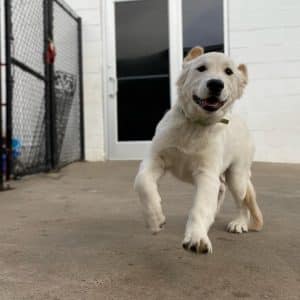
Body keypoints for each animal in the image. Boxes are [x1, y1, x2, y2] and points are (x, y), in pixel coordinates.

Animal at [134, 47, 262, 253]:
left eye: (228, 72)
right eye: (201, 68)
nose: (216, 84)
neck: (194, 126)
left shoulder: (206, 173)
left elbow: (200, 207)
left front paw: (197, 237)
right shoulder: (155, 159)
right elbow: (143, 183)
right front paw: (155, 219)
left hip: (237, 175)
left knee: (241, 200)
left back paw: (239, 223)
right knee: (221, 187)